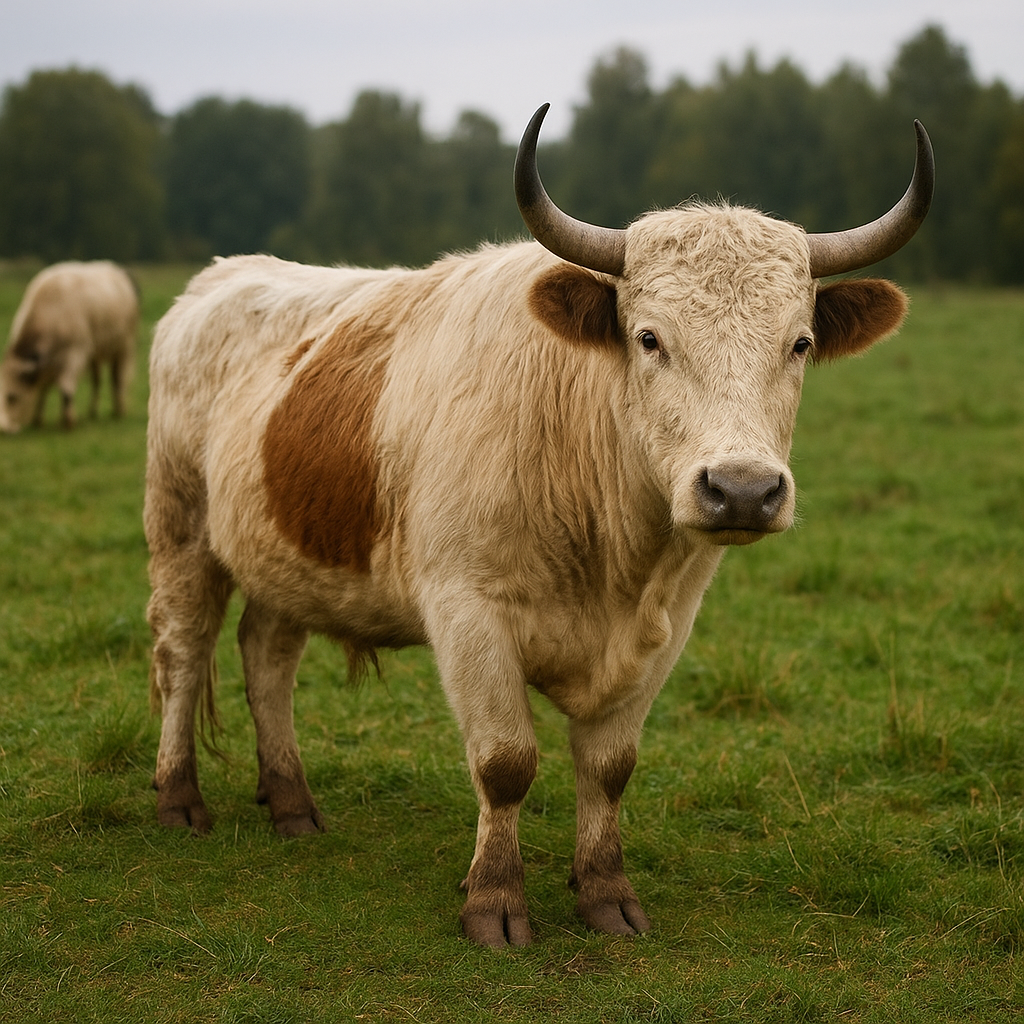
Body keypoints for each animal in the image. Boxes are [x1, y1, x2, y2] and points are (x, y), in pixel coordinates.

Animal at [0, 260, 138, 432]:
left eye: (12, 397)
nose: (3, 427)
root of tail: (116, 269)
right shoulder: (49, 366)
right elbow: (42, 390)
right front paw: (38, 420)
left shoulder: (75, 355)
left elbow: (66, 390)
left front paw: (68, 421)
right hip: (95, 355)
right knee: (96, 381)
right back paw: (93, 412)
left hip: (123, 346)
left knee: (117, 379)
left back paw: (119, 410)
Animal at [145, 105, 933, 947]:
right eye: (649, 338)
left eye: (800, 342)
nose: (744, 491)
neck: (612, 556)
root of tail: (220, 278)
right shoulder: (469, 615)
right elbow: (505, 763)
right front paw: (494, 902)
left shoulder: (668, 626)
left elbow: (609, 768)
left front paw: (605, 893)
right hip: (181, 528)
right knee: (183, 652)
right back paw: (179, 798)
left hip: (284, 555)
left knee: (268, 656)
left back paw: (292, 802)